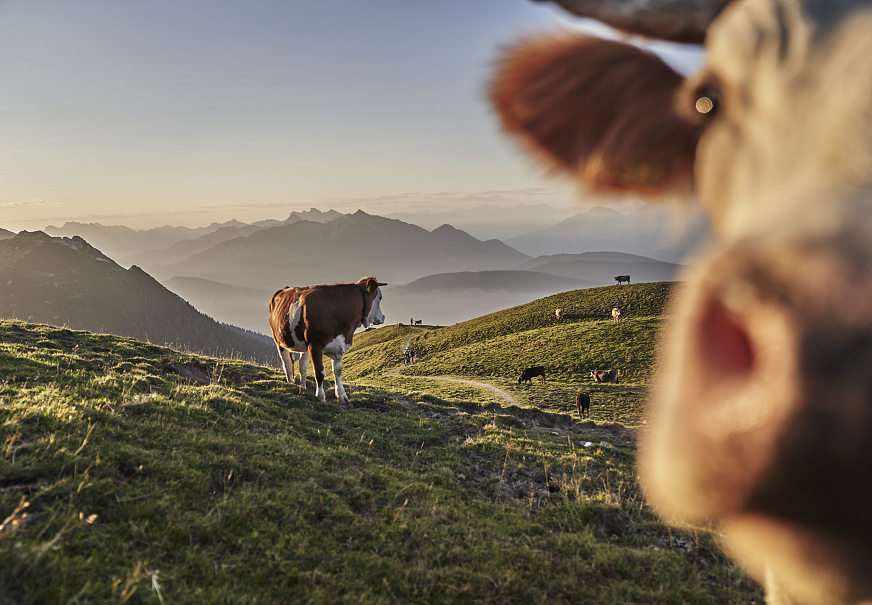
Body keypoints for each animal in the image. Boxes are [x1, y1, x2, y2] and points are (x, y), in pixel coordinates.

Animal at [268, 276, 386, 404]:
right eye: (380, 297)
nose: (383, 317)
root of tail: (284, 289)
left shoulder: (338, 344)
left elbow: (337, 371)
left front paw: (342, 396)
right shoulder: (315, 345)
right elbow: (319, 372)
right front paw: (320, 397)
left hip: (303, 346)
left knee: (302, 366)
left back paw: (303, 387)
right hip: (278, 340)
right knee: (287, 364)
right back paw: (291, 384)